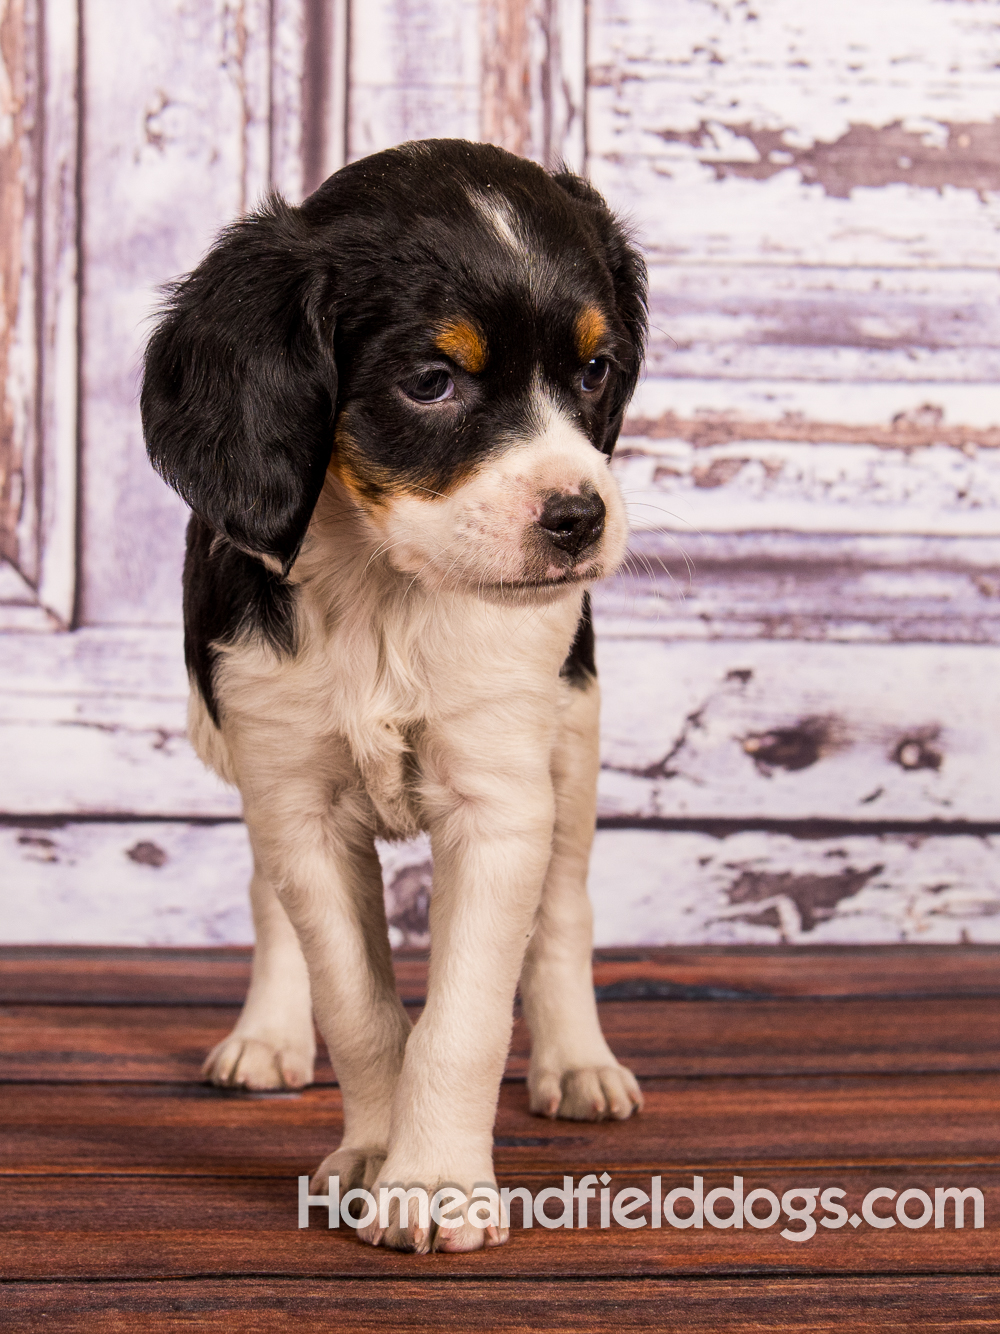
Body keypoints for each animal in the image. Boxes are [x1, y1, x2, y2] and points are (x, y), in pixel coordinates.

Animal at [142, 140, 650, 1253]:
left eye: (595, 369)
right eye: (431, 382)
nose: (578, 516)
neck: (389, 592)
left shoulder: (500, 799)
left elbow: (462, 1017)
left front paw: (437, 1183)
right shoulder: (294, 793)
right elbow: (361, 1005)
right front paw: (377, 1155)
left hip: (575, 729)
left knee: (566, 907)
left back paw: (578, 1062)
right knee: (269, 898)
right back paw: (267, 1035)